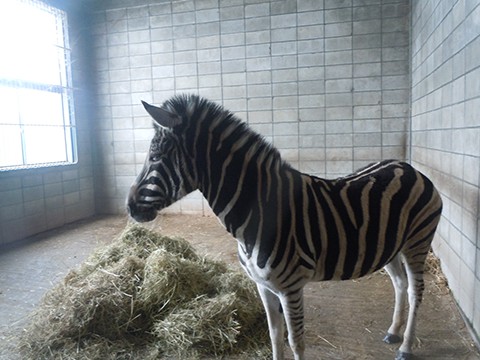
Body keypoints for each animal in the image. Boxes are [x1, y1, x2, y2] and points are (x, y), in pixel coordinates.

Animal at [126, 93, 442, 360]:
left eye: (155, 156)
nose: (129, 207)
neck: (261, 213)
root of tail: (407, 167)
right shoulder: (263, 286)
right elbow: (275, 336)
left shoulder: (291, 287)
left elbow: (295, 341)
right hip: (389, 246)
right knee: (400, 283)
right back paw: (393, 333)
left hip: (417, 242)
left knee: (416, 291)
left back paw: (405, 347)